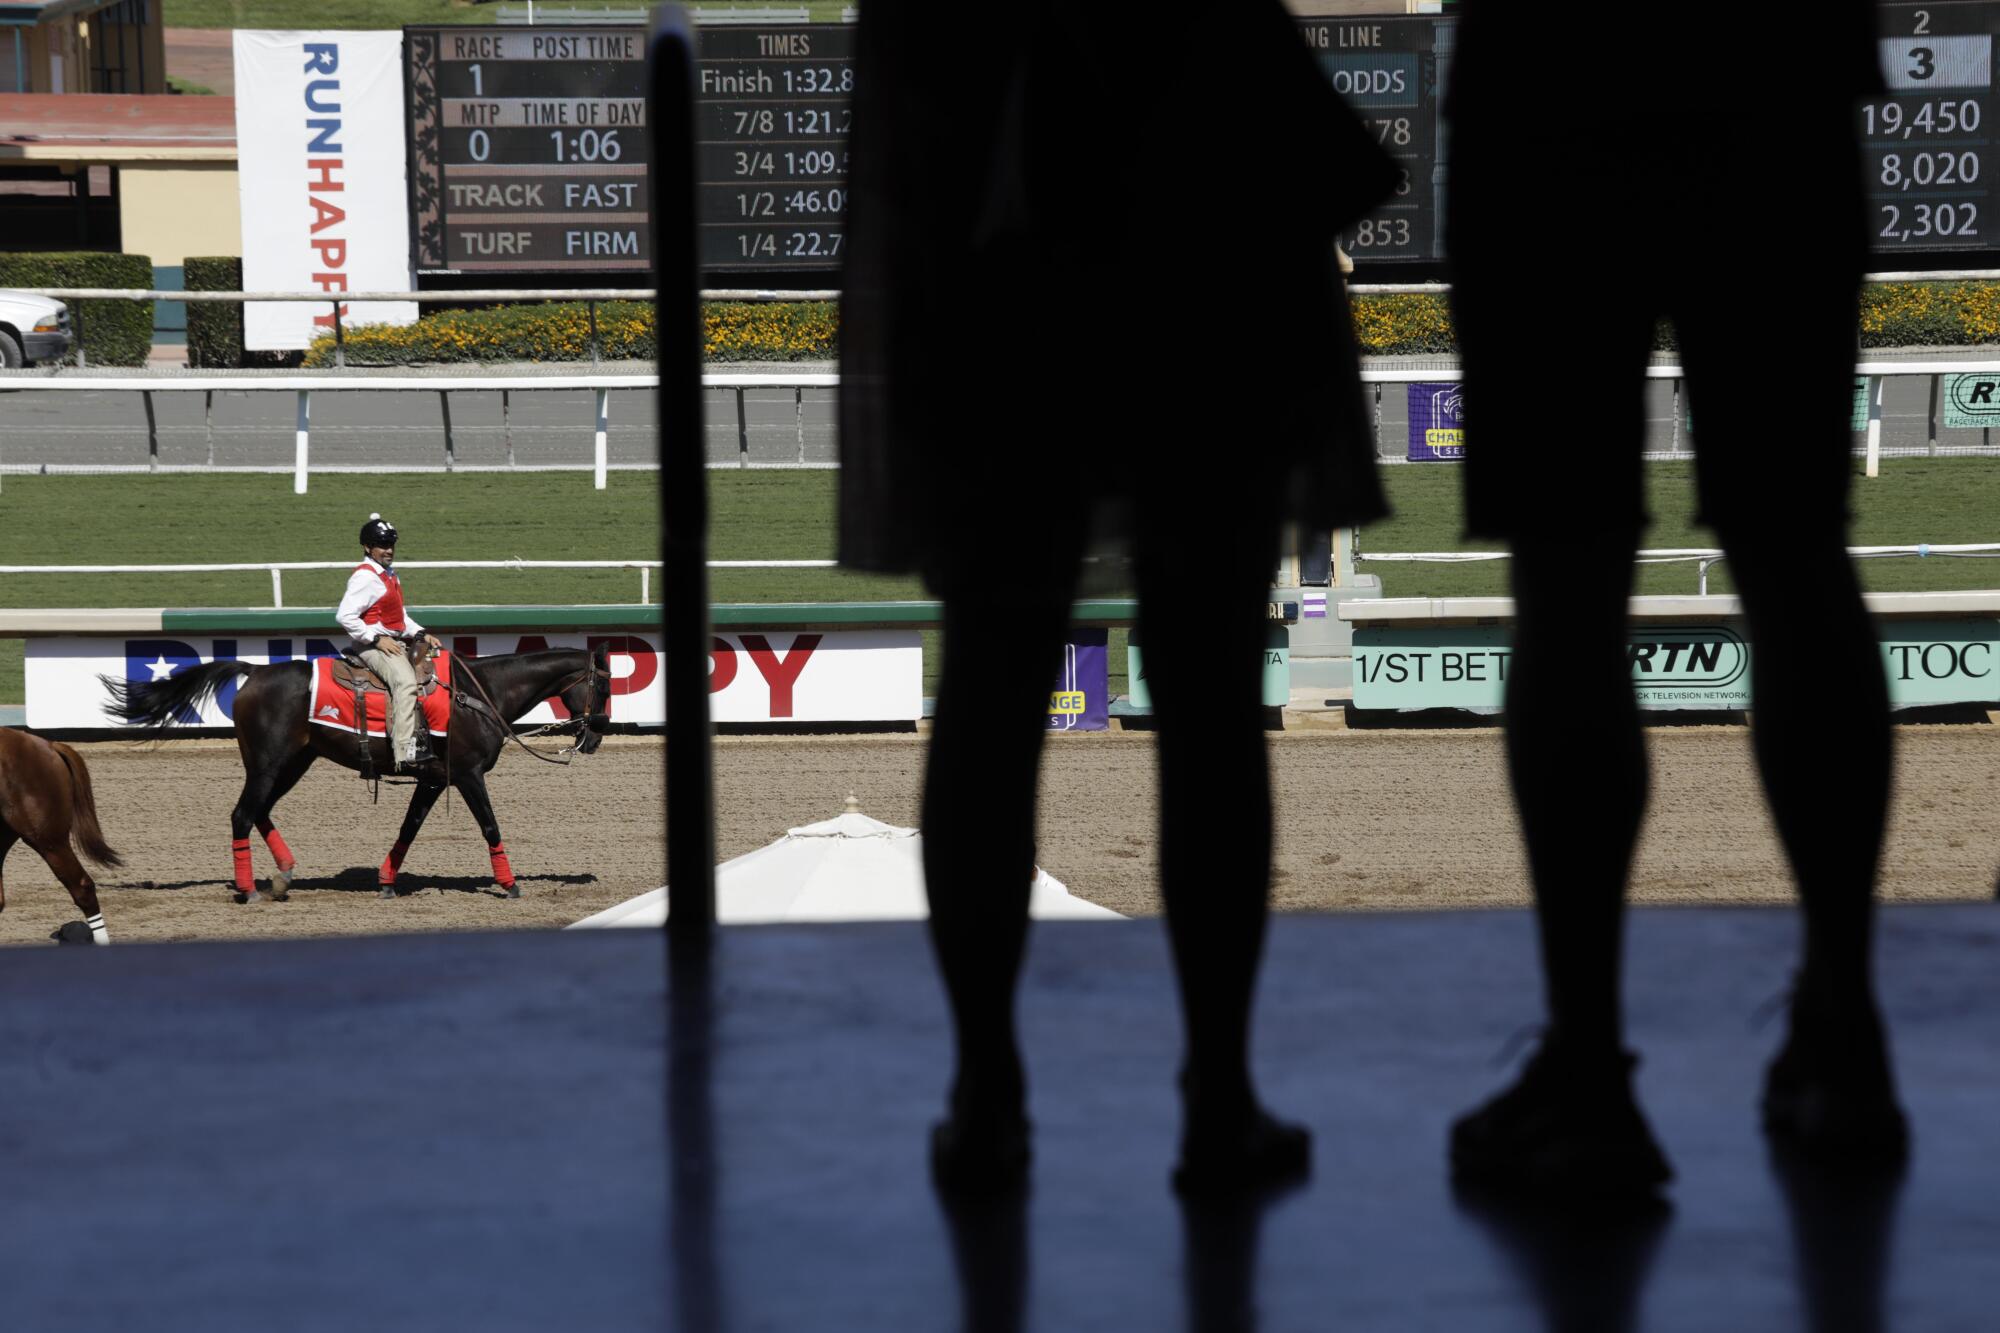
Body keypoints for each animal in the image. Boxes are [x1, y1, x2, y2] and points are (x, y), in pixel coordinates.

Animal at [105, 644, 604, 904]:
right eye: (603, 686)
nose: (596, 736)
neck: (477, 695)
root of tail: (254, 673)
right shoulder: (467, 775)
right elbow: (489, 826)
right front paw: (510, 883)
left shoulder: (433, 779)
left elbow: (409, 829)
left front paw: (386, 881)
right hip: (269, 765)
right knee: (242, 815)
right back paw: (249, 890)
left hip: (292, 763)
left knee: (258, 812)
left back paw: (283, 876)